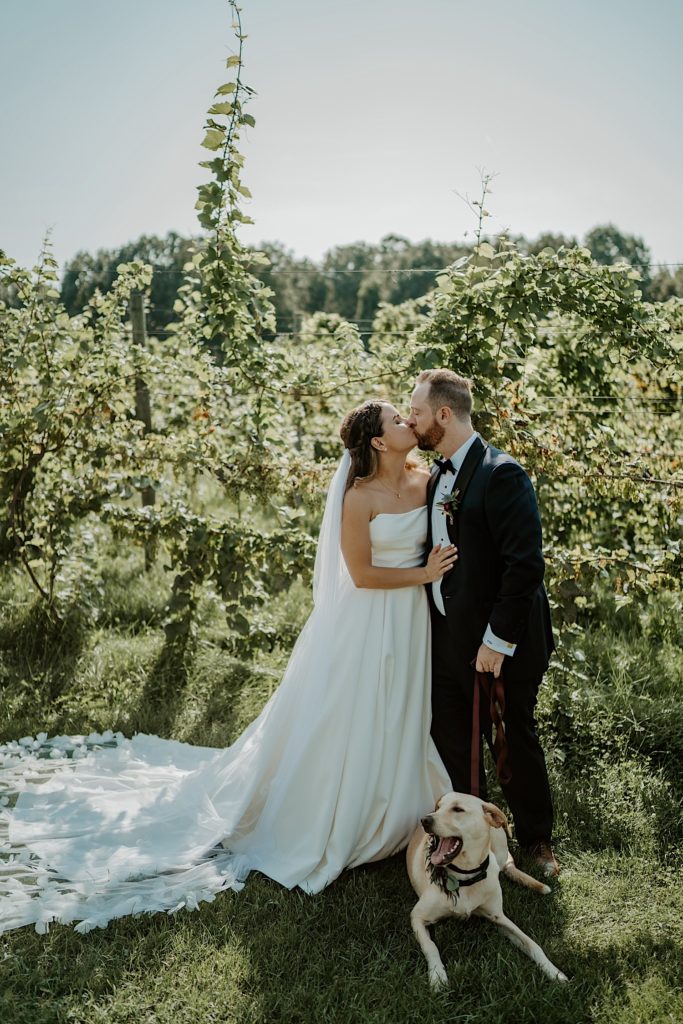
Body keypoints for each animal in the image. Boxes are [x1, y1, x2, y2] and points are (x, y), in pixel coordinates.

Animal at [405, 794, 565, 987]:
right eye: (438, 807)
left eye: (458, 809)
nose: (424, 820)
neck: (465, 877)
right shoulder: (417, 917)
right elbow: (431, 946)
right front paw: (437, 976)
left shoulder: (498, 917)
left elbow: (532, 944)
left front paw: (554, 972)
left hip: (500, 847)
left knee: (507, 864)